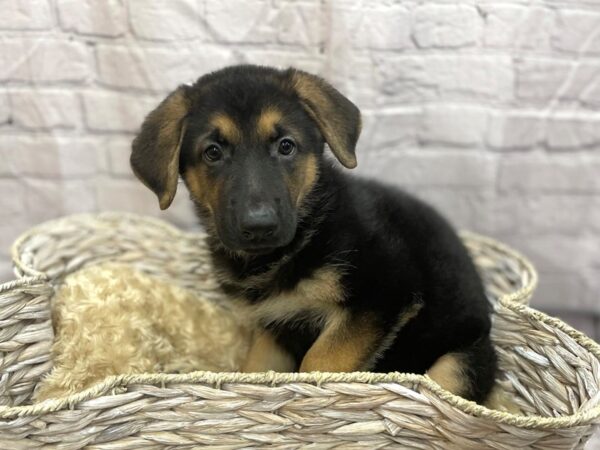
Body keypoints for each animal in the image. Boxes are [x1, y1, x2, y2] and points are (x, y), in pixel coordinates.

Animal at [131, 64, 496, 404]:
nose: (259, 226)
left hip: (456, 363)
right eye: (212, 152)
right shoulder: (274, 328)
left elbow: (320, 360)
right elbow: (256, 369)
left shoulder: (383, 295)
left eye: (286, 146)